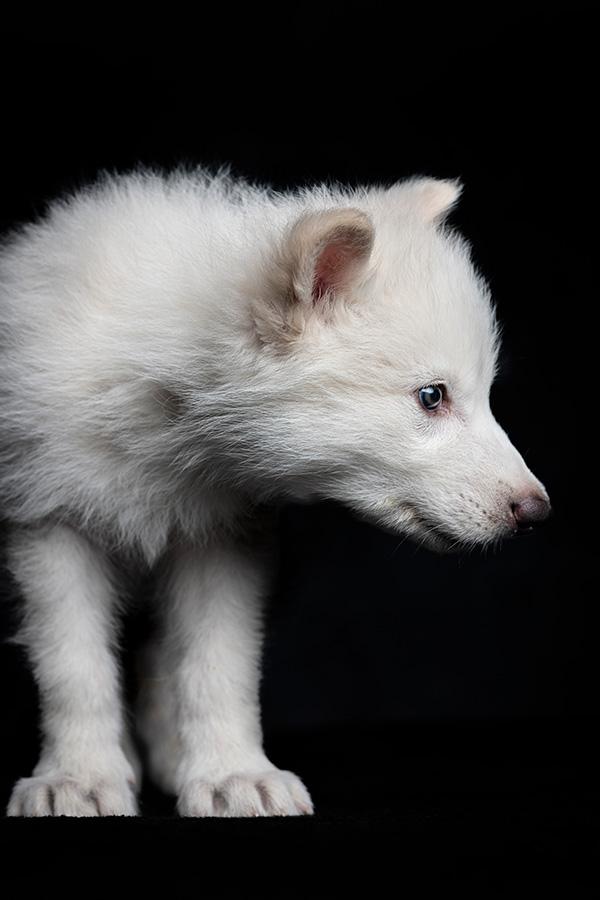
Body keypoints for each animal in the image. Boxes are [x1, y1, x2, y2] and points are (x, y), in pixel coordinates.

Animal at [0, 170, 550, 816]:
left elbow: (217, 663)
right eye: (432, 397)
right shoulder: (48, 517)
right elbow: (73, 666)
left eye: (484, 393)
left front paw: (230, 773)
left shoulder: (223, 532)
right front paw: (80, 778)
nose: (537, 510)